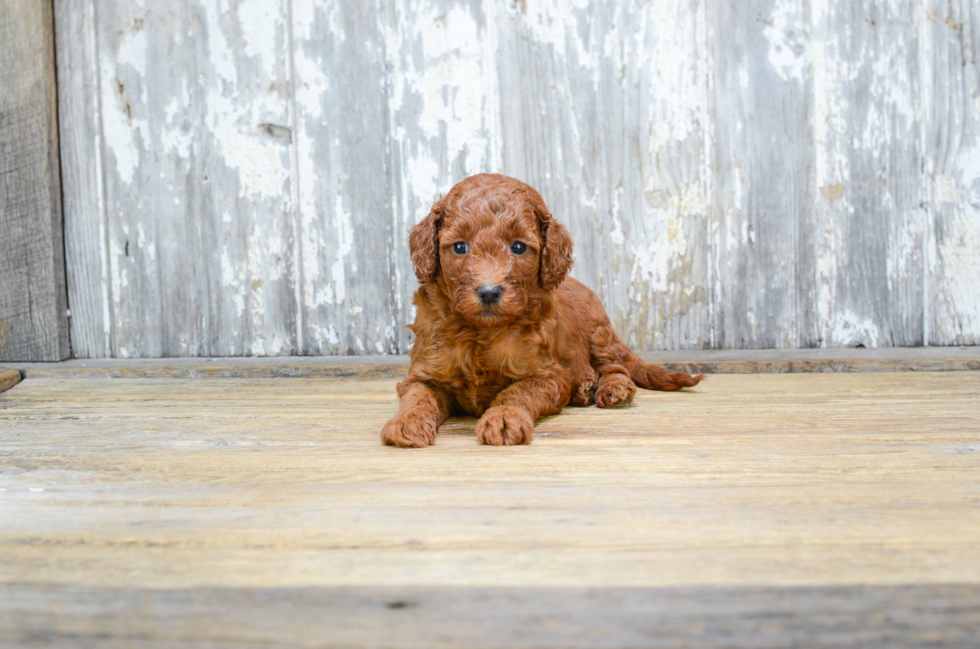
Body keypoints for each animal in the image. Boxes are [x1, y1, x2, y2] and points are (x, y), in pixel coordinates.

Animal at [382, 172, 704, 446]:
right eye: (460, 247)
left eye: (519, 247)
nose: (489, 292)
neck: (482, 332)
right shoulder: (423, 374)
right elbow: (417, 396)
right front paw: (406, 423)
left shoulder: (546, 377)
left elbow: (516, 391)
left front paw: (504, 419)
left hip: (598, 332)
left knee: (617, 366)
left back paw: (610, 389)